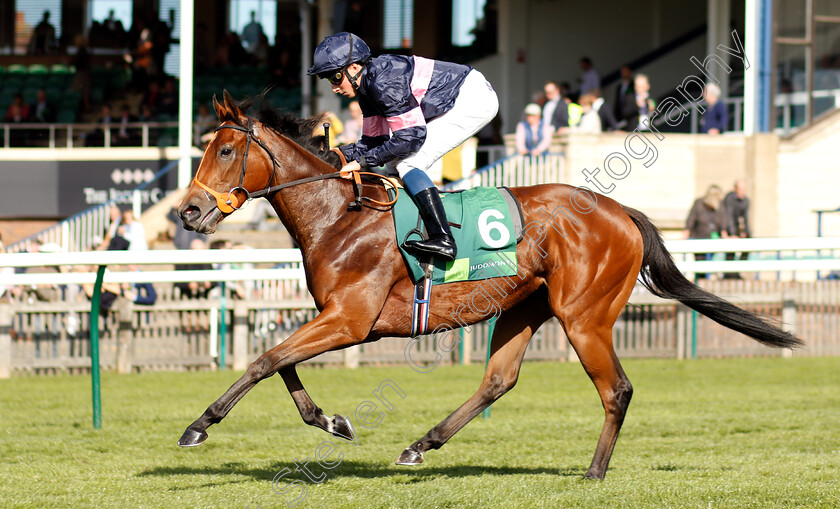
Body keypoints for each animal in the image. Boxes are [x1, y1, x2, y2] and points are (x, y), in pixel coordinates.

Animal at [176, 92, 800, 480]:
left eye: (225, 150)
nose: (188, 211)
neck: (339, 216)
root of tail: (620, 210)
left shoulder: (350, 320)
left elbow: (266, 360)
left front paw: (198, 426)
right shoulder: (337, 317)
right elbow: (281, 363)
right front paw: (332, 422)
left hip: (584, 315)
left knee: (616, 390)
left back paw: (595, 471)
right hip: (523, 307)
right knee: (498, 380)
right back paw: (419, 445)